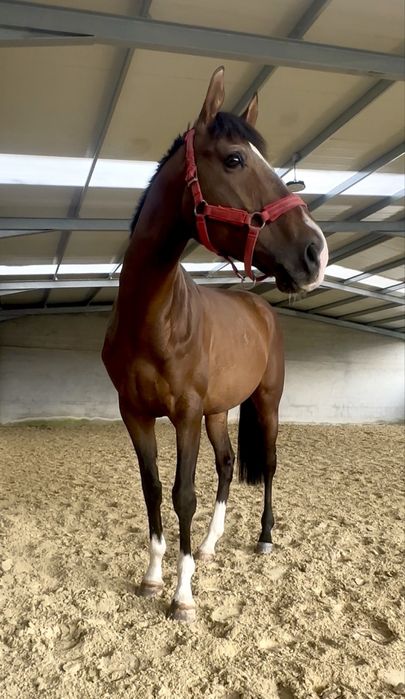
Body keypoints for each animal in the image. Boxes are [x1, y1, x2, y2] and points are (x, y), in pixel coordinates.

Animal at [102, 66, 328, 622]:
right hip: (219, 412)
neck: (153, 319)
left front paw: (183, 596)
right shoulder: (135, 414)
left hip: (265, 403)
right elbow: (153, 489)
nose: (315, 252)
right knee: (227, 464)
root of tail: (261, 308)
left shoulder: (184, 413)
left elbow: (184, 494)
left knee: (268, 464)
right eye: (234, 159)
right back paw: (208, 545)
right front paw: (153, 577)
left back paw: (265, 538)